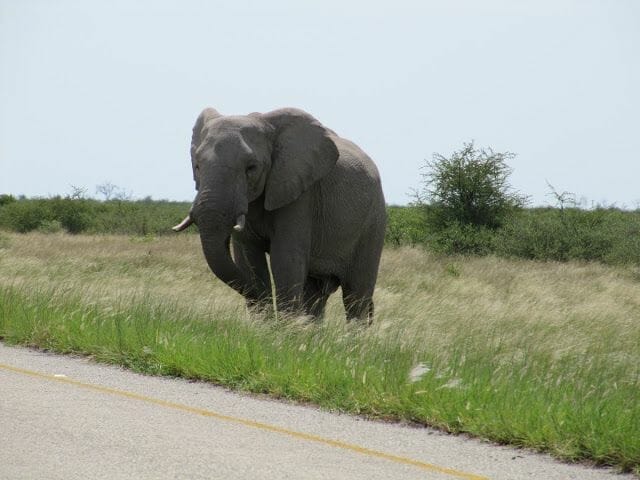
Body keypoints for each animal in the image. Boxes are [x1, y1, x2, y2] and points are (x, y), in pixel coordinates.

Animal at [173, 107, 386, 323]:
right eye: (197, 166)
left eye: (251, 167)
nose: (264, 303)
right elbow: (249, 258)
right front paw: (264, 325)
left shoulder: (300, 193)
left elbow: (285, 258)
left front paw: (283, 328)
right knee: (316, 292)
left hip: (373, 222)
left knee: (356, 293)